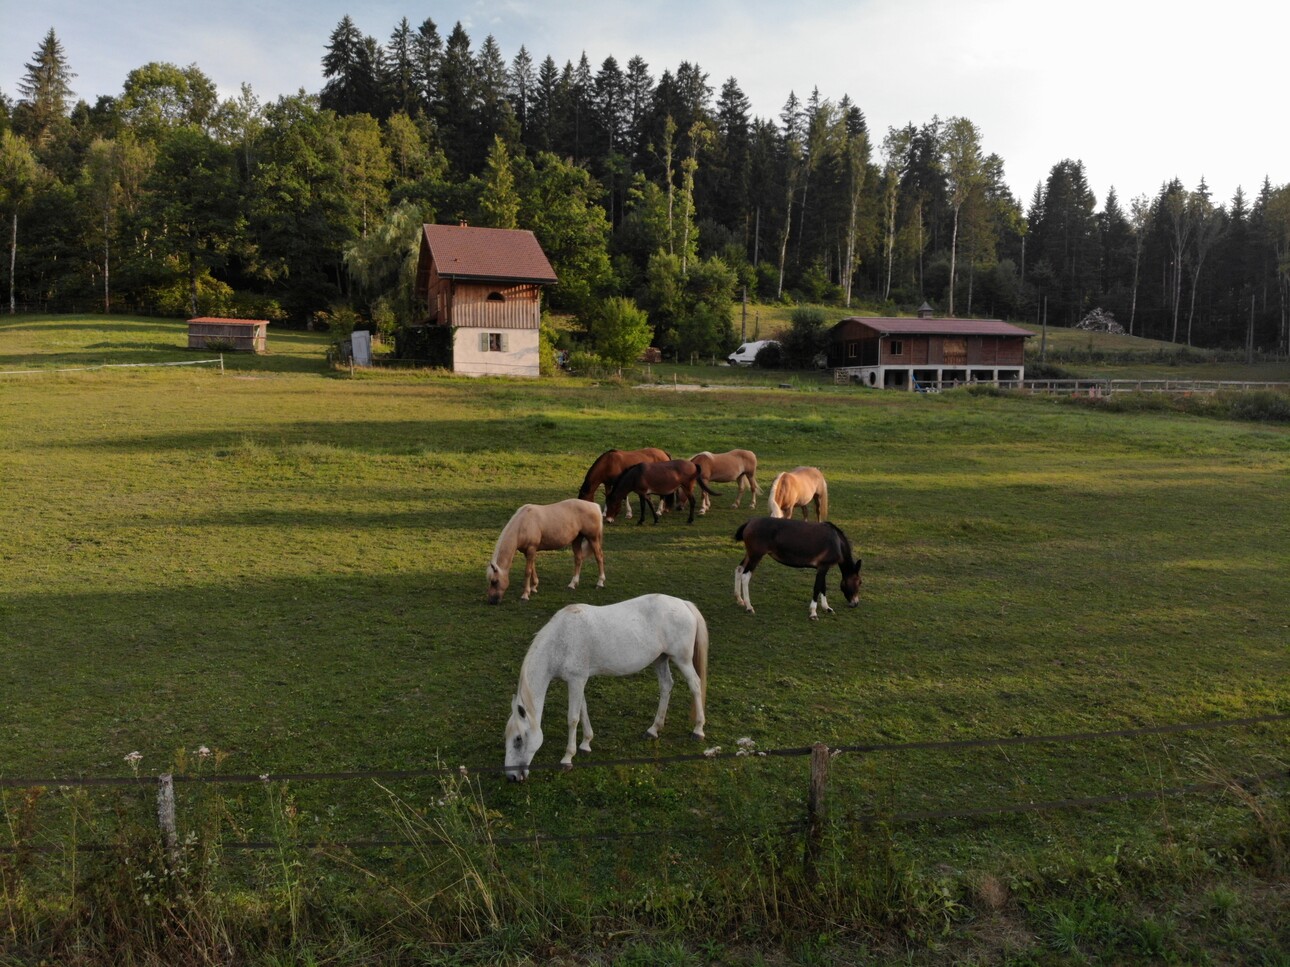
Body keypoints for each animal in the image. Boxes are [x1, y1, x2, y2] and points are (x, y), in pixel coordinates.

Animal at [503, 595, 712, 783]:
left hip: (682, 660)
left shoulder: (577, 680)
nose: (511, 777)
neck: (560, 639)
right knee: (666, 685)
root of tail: (683, 603)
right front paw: (586, 744)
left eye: (518, 739)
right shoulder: (578, 681)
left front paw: (567, 758)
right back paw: (653, 729)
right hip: (660, 659)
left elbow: (573, 718)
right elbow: (583, 710)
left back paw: (698, 730)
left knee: (695, 685)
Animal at [732, 523, 861, 621]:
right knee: (745, 576)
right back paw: (749, 606)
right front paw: (813, 613)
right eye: (859, 582)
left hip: (749, 555)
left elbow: (823, 587)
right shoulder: (823, 567)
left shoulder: (823, 568)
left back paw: (739, 600)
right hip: (756, 556)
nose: (855, 603)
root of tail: (749, 523)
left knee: (739, 569)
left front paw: (827, 608)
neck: (837, 542)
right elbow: (817, 587)